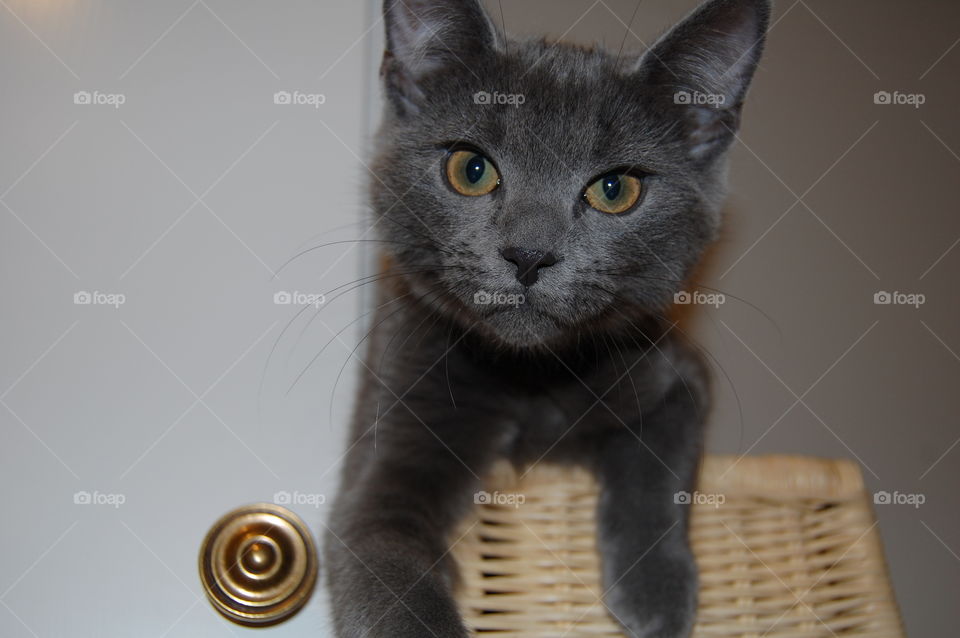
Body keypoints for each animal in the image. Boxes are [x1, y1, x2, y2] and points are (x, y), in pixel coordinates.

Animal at [326, 1, 768, 638]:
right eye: (470, 168)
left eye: (615, 188)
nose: (529, 255)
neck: (531, 379)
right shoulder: (396, 415)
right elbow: (380, 551)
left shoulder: (677, 374)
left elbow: (660, 466)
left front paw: (658, 593)